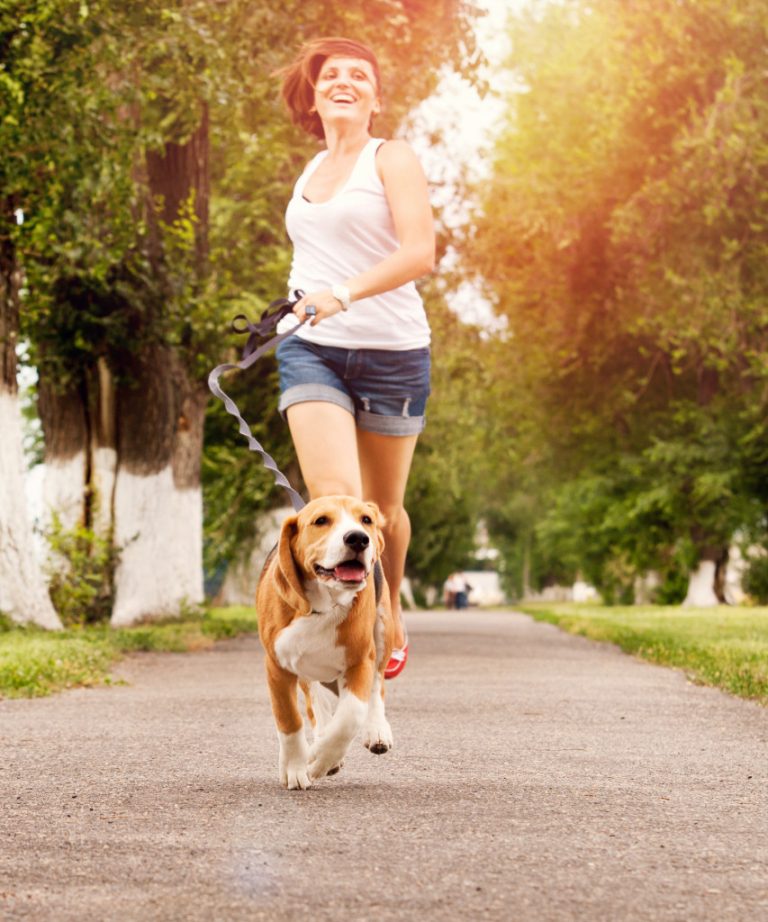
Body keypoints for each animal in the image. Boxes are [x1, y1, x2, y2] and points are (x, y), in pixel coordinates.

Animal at [258, 492, 396, 788]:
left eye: (366, 520)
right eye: (321, 521)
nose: (358, 538)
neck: (323, 605)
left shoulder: (359, 661)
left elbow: (349, 717)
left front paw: (320, 759)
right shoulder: (277, 666)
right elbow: (289, 720)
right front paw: (296, 768)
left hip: (383, 631)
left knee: (377, 685)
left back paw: (376, 730)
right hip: (304, 668)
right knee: (314, 701)